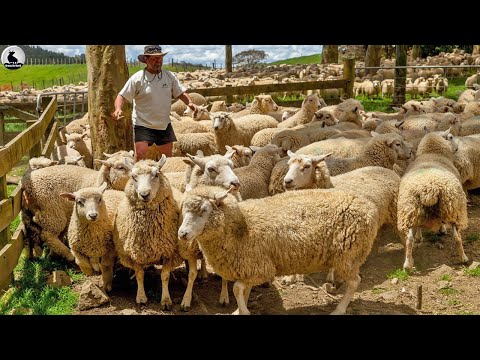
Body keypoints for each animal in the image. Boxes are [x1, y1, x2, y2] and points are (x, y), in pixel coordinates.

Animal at [112, 158, 182, 306]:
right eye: (133, 176)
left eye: (156, 175)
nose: (144, 194)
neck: (150, 231)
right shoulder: (135, 252)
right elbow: (140, 275)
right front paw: (141, 297)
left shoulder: (169, 251)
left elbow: (165, 276)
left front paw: (166, 299)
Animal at [178, 186, 380, 316]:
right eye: (183, 209)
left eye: (204, 210)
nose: (182, 234)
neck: (242, 227)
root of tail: (370, 206)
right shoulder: (249, 266)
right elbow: (244, 289)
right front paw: (238, 310)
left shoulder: (260, 266)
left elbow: (236, 288)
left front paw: (244, 311)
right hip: (346, 256)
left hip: (349, 254)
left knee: (354, 282)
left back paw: (339, 310)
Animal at [398, 129, 468, 270]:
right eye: (450, 137)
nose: (457, 148)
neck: (431, 153)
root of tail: (429, 189)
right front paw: (442, 229)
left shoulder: (418, 213)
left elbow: (419, 227)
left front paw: (419, 237)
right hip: (453, 207)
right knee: (457, 237)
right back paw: (463, 258)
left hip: (410, 209)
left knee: (409, 239)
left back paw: (407, 264)